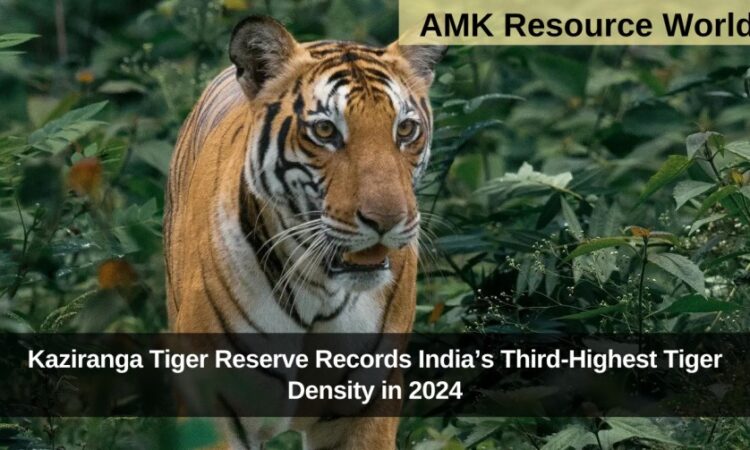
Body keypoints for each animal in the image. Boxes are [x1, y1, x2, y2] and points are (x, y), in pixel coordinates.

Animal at [164, 15, 444, 450]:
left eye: (406, 130)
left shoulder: (367, 408)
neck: (319, 290)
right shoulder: (213, 406)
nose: (387, 220)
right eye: (326, 131)